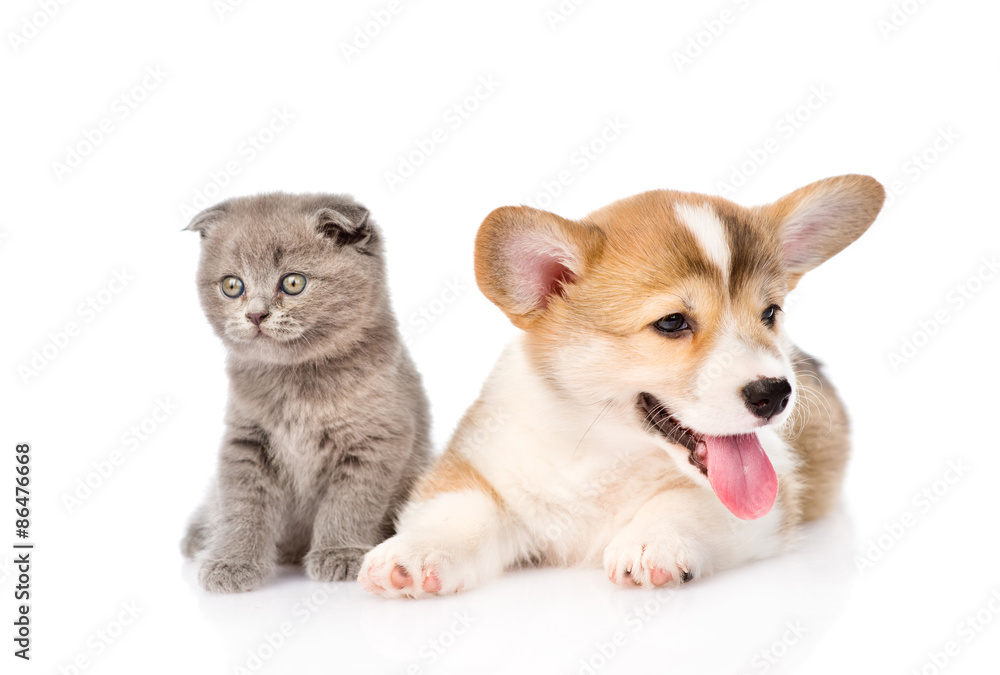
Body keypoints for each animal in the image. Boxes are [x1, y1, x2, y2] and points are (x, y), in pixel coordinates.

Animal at [180, 193, 430, 596]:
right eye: (232, 286)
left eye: (293, 282)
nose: (255, 315)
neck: (296, 382)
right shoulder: (245, 440)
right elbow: (241, 504)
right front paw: (232, 562)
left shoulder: (376, 440)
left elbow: (350, 501)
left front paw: (339, 553)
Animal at [358, 174, 884, 596]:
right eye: (672, 322)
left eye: (770, 314)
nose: (775, 394)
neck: (603, 449)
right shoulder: (473, 465)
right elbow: (459, 510)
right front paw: (416, 553)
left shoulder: (772, 497)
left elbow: (686, 500)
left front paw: (652, 541)